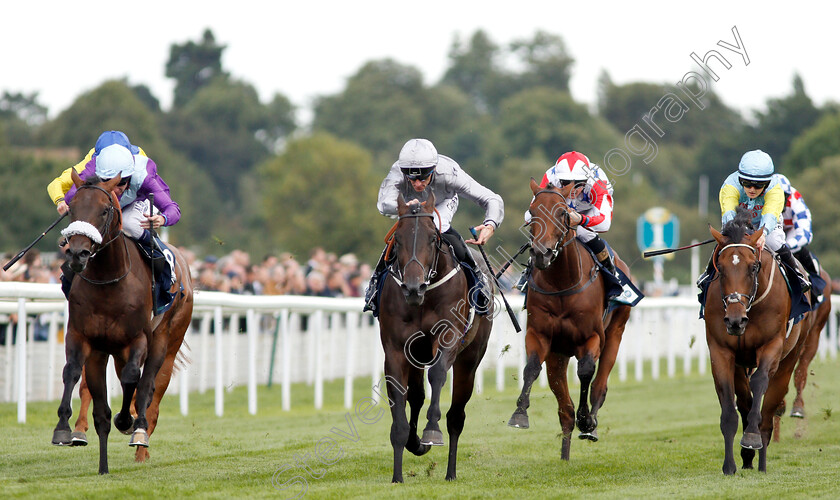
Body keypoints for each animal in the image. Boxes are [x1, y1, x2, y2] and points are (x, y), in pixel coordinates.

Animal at [53, 172, 195, 472]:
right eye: (72, 209)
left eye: (104, 210)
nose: (77, 254)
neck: (109, 281)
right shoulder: (83, 337)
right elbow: (74, 374)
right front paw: (64, 430)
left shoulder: (137, 338)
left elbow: (134, 380)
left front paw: (128, 422)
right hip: (114, 351)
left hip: (167, 341)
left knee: (151, 388)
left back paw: (141, 441)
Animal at [376, 193, 492, 482]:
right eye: (399, 238)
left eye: (431, 238)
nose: (412, 287)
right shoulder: (396, 350)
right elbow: (402, 398)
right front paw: (398, 475)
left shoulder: (448, 337)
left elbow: (438, 375)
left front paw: (431, 431)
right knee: (416, 396)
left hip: (470, 359)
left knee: (456, 416)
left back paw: (450, 472)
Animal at [506, 179, 632, 460]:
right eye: (532, 211)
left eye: (563, 213)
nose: (541, 254)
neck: (562, 283)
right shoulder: (540, 335)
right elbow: (531, 368)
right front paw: (519, 414)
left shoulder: (592, 337)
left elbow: (585, 371)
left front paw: (586, 420)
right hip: (558, 354)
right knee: (565, 409)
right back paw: (564, 456)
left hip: (616, 333)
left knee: (600, 384)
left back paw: (591, 426)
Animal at [704, 209, 812, 474]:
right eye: (720, 267)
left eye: (753, 267)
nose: (735, 320)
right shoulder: (721, 350)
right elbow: (729, 406)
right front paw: (729, 465)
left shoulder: (771, 345)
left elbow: (760, 383)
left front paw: (752, 438)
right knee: (744, 400)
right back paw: (747, 459)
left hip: (790, 357)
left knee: (769, 405)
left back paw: (761, 458)